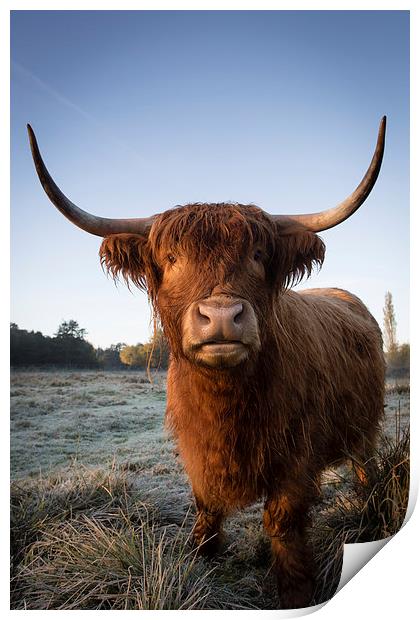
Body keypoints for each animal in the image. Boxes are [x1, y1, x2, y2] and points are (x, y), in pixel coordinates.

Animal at [27, 118, 388, 608]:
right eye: (172, 258)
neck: (227, 406)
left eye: (258, 255)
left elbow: (284, 526)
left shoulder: (296, 460)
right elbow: (206, 507)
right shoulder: (197, 451)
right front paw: (200, 554)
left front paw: (297, 593)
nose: (220, 316)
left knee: (365, 465)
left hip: (365, 428)